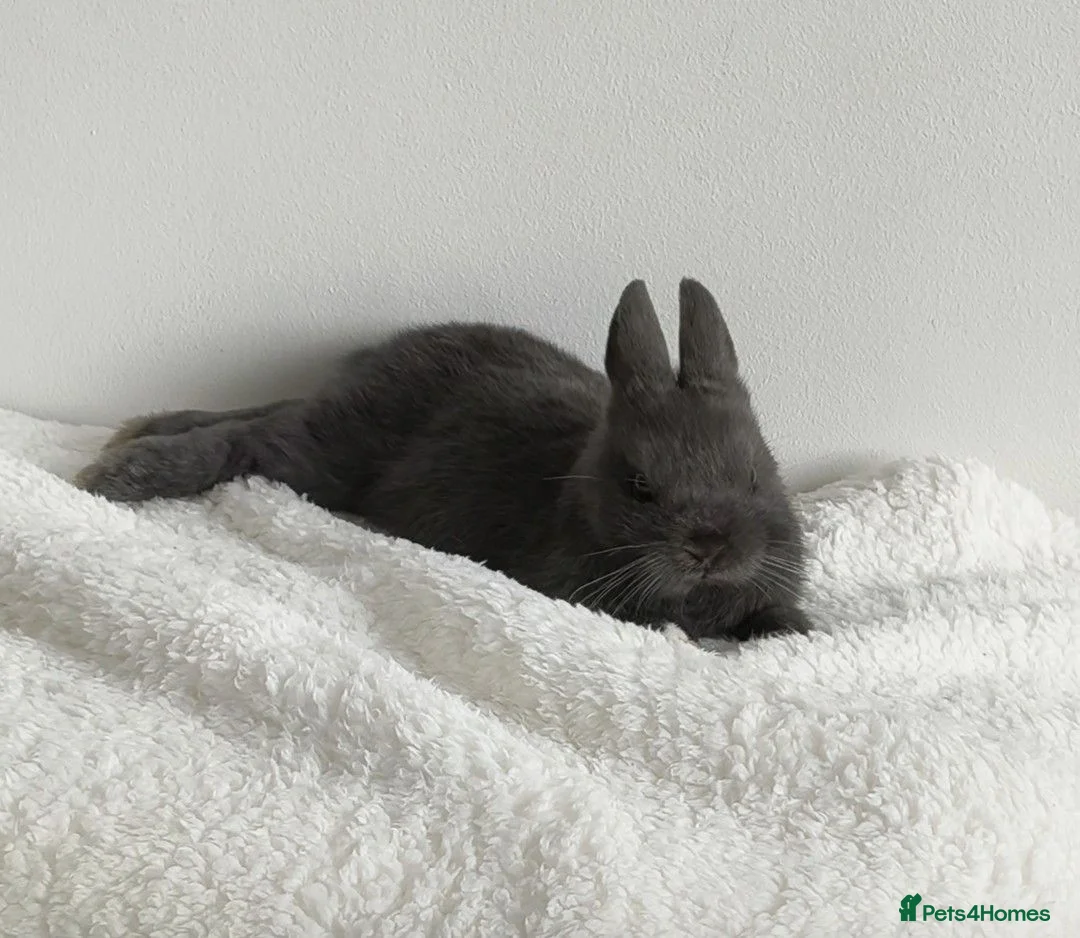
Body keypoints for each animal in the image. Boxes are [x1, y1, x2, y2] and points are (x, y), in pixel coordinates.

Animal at [75, 278, 810, 643]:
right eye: (640, 487)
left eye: (753, 475)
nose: (710, 547)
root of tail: (369, 360)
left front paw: (786, 631)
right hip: (325, 456)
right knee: (251, 437)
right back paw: (116, 472)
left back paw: (134, 432)